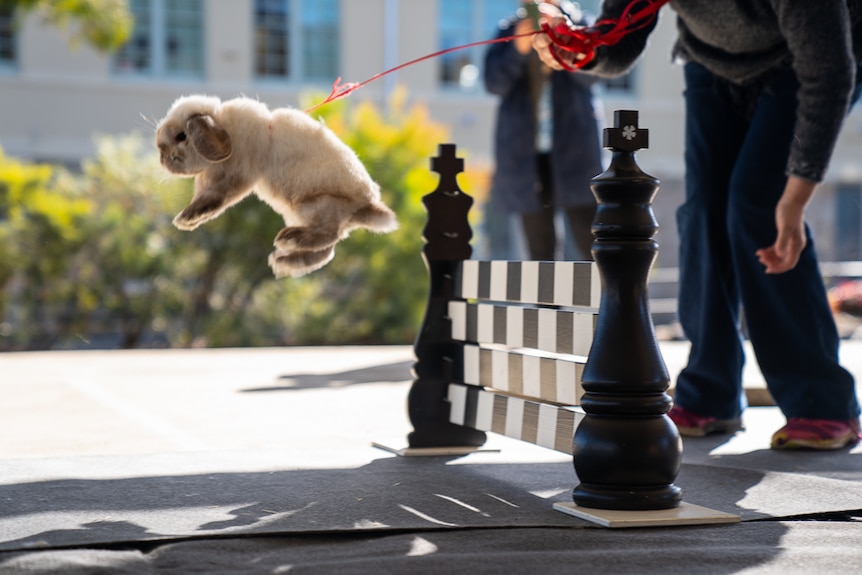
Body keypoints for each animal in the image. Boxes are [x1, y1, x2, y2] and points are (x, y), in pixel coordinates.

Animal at [155, 95, 398, 280]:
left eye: (181, 136)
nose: (162, 158)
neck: (228, 130)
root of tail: (365, 206)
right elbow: (206, 201)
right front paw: (191, 221)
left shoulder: (236, 178)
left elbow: (215, 199)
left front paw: (185, 218)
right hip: (301, 214)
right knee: (326, 252)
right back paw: (285, 261)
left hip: (316, 205)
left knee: (329, 236)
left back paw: (291, 240)